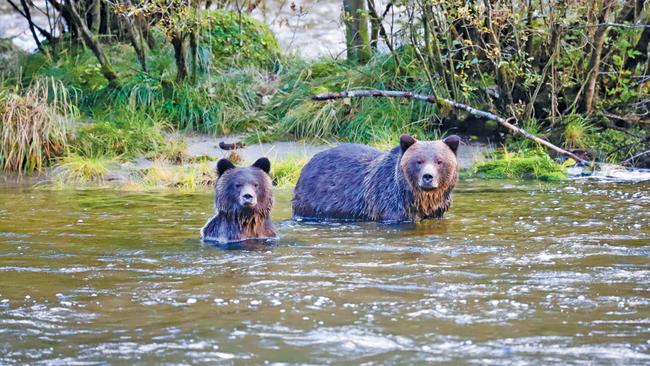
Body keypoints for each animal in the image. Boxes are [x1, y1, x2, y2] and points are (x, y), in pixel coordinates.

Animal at [292, 134, 458, 220]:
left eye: (439, 161)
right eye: (419, 161)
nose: (427, 176)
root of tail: (308, 162)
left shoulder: (436, 211)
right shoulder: (390, 204)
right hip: (312, 201)